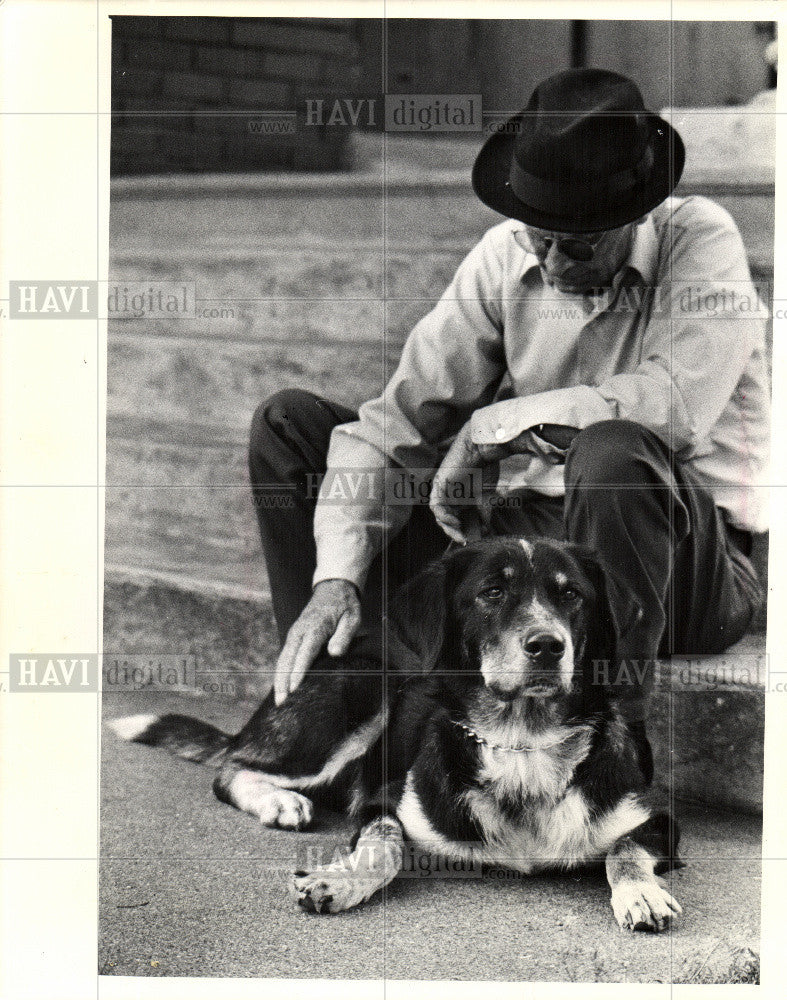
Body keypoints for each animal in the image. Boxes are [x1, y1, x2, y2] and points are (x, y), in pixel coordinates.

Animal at [107, 536, 680, 932]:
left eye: (572, 595)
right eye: (492, 593)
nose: (547, 645)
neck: (522, 741)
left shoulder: (656, 819)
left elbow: (624, 847)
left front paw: (641, 893)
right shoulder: (380, 803)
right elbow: (385, 847)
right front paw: (339, 880)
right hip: (358, 696)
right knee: (231, 768)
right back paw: (279, 801)